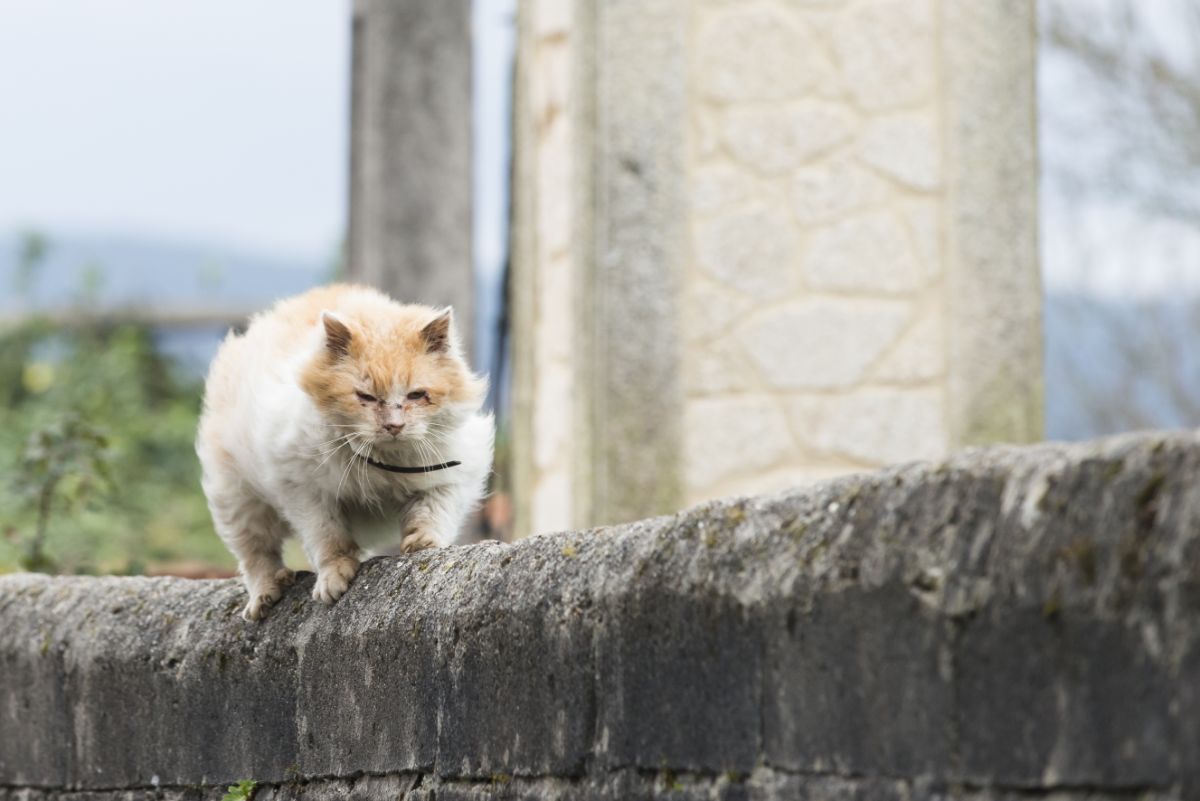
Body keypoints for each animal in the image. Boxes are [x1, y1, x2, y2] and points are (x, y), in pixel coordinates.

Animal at [196, 284, 492, 623]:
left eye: (416, 395)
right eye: (366, 397)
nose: (394, 426)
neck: (383, 463)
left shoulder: (454, 476)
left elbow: (432, 514)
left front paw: (422, 546)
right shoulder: (304, 491)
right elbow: (329, 541)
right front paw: (334, 581)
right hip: (239, 502)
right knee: (257, 557)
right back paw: (265, 597)